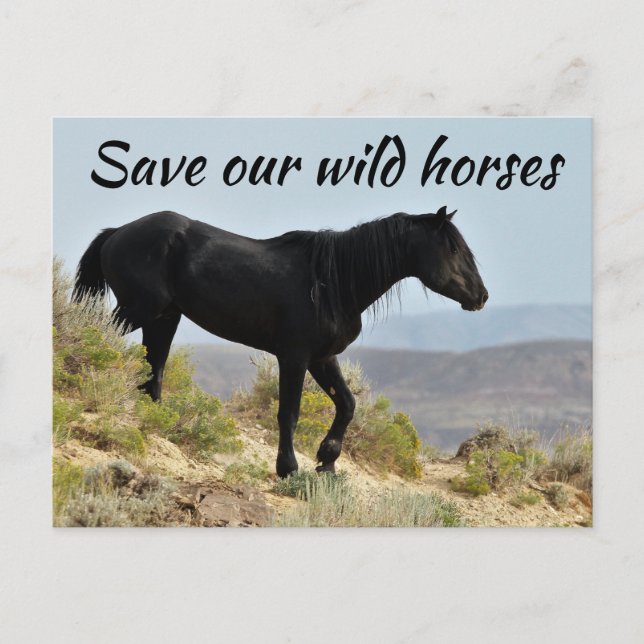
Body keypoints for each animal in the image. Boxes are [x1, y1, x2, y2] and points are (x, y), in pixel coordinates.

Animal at [73, 206, 488, 478]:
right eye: (453, 249)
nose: (480, 296)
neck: (333, 282)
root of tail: (117, 232)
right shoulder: (294, 357)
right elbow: (289, 412)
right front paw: (288, 468)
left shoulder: (322, 358)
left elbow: (347, 404)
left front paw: (327, 461)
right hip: (138, 310)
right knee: (99, 340)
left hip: (163, 317)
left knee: (153, 372)